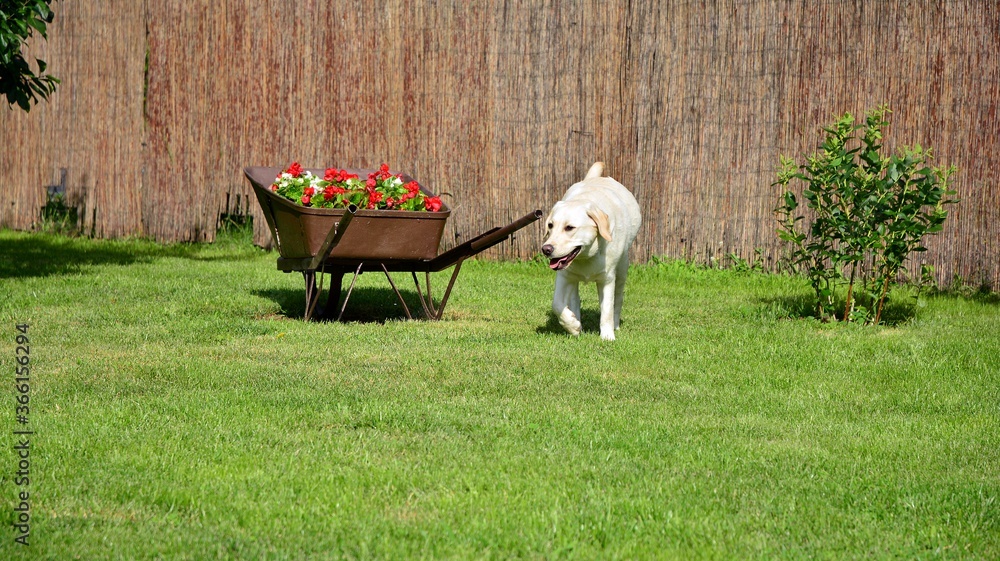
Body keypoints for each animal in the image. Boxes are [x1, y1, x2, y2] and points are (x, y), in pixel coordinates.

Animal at [540, 160, 640, 340]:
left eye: (569, 227)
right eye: (550, 225)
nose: (546, 249)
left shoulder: (607, 279)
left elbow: (607, 309)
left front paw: (607, 336)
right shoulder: (564, 276)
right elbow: (557, 304)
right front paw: (573, 326)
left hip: (622, 271)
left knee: (618, 300)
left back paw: (615, 325)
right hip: (573, 279)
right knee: (574, 299)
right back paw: (576, 320)